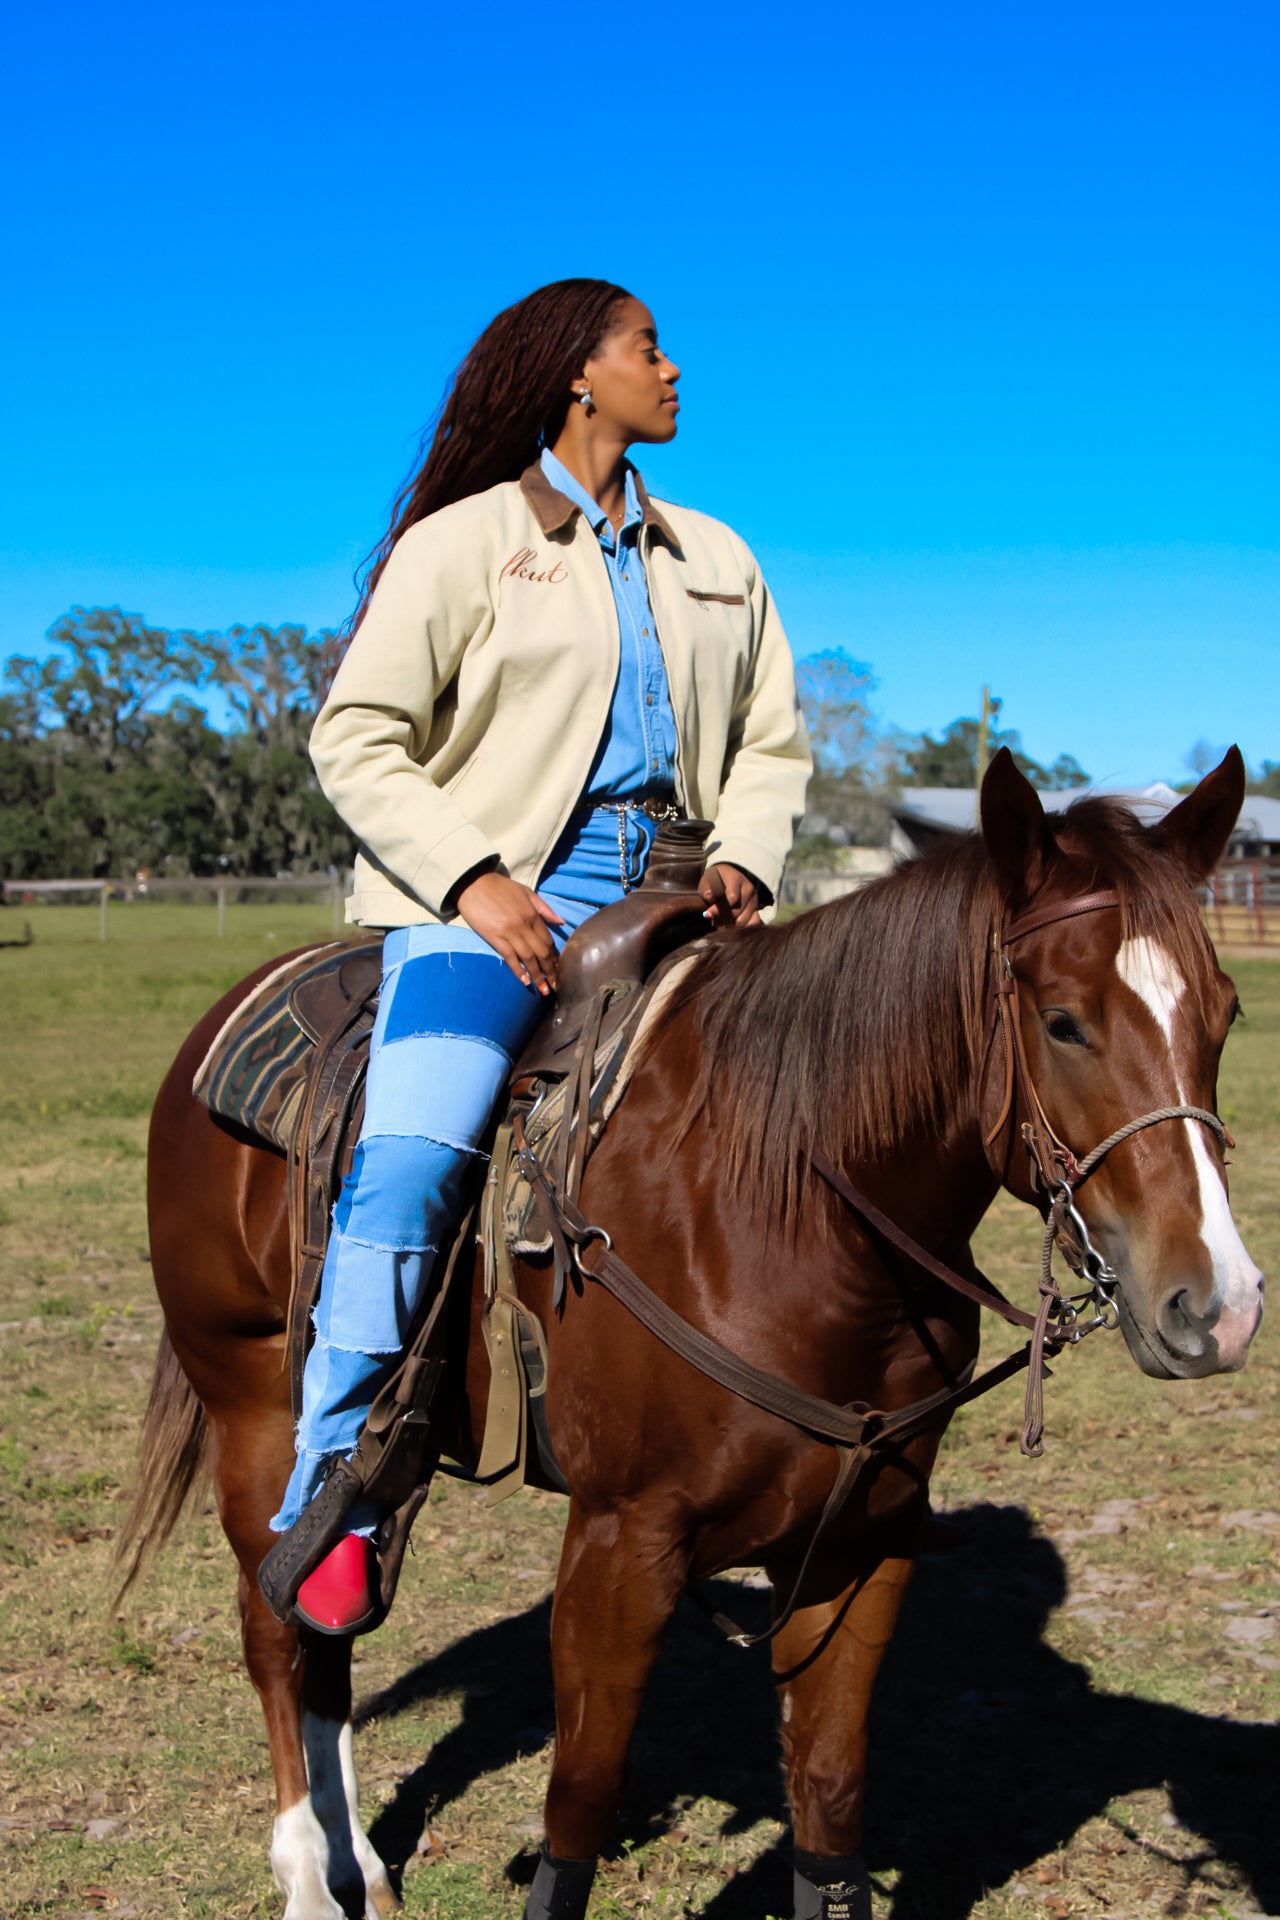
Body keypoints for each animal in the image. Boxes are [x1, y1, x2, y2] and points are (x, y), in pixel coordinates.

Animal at [117, 752, 1258, 1920]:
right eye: (1063, 1021)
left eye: (1223, 1013)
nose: (1217, 1307)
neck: (793, 1216)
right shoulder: (620, 1544)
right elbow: (578, 1806)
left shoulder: (860, 1545)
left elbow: (829, 1800)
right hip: (252, 1409)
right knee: (275, 1628)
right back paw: (310, 1874)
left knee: (331, 1629)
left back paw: (362, 1865)